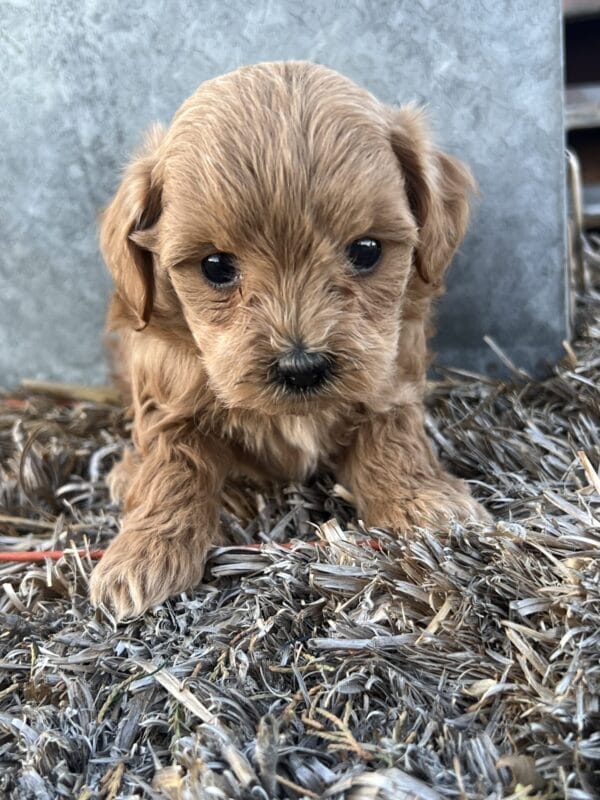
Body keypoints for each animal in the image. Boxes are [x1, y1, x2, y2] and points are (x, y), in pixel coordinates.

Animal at [91, 61, 490, 620]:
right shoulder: (168, 393)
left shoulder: (391, 373)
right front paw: (144, 553)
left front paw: (425, 500)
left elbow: (394, 440)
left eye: (367, 249)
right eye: (215, 266)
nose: (302, 367)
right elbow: (173, 467)